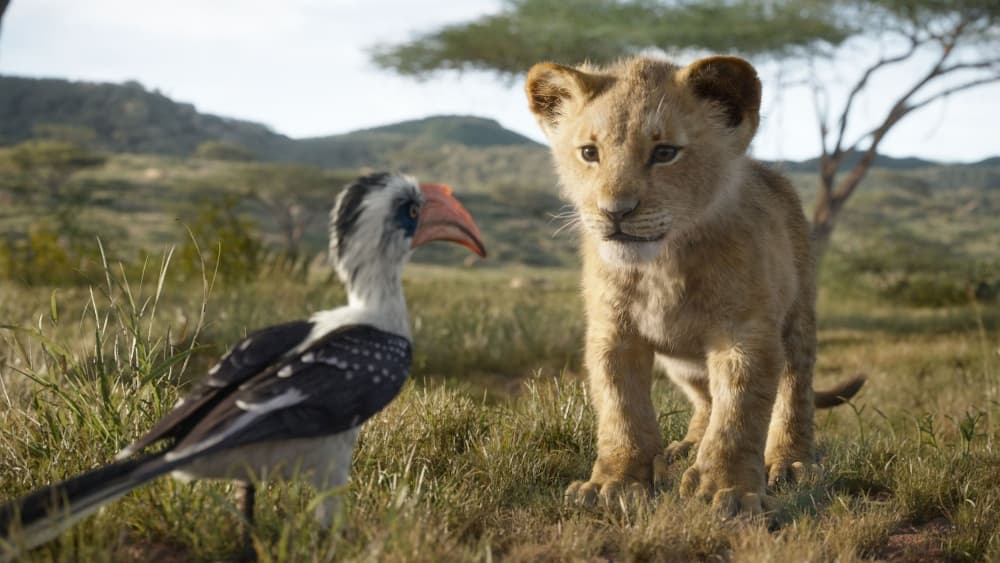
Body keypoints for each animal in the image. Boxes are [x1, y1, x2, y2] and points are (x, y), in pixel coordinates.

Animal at [524, 55, 864, 515]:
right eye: (589, 153)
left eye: (665, 152)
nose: (615, 211)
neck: (661, 265)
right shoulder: (613, 333)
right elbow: (621, 410)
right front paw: (614, 484)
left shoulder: (745, 334)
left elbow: (739, 415)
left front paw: (729, 490)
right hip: (682, 362)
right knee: (705, 399)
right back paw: (685, 448)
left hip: (798, 318)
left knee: (795, 390)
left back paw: (790, 462)